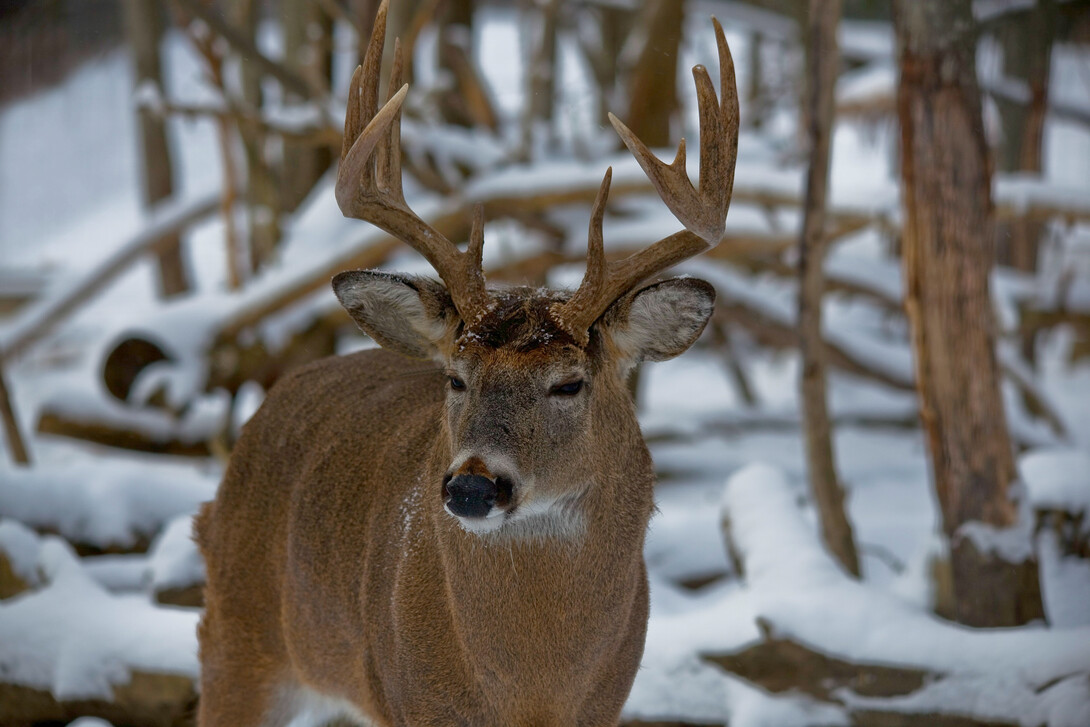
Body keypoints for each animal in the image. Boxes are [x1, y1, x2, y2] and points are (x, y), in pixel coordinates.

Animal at [196, 2, 741, 723]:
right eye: (456, 378)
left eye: (570, 383)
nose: (473, 487)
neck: (533, 692)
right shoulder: (413, 699)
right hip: (236, 634)